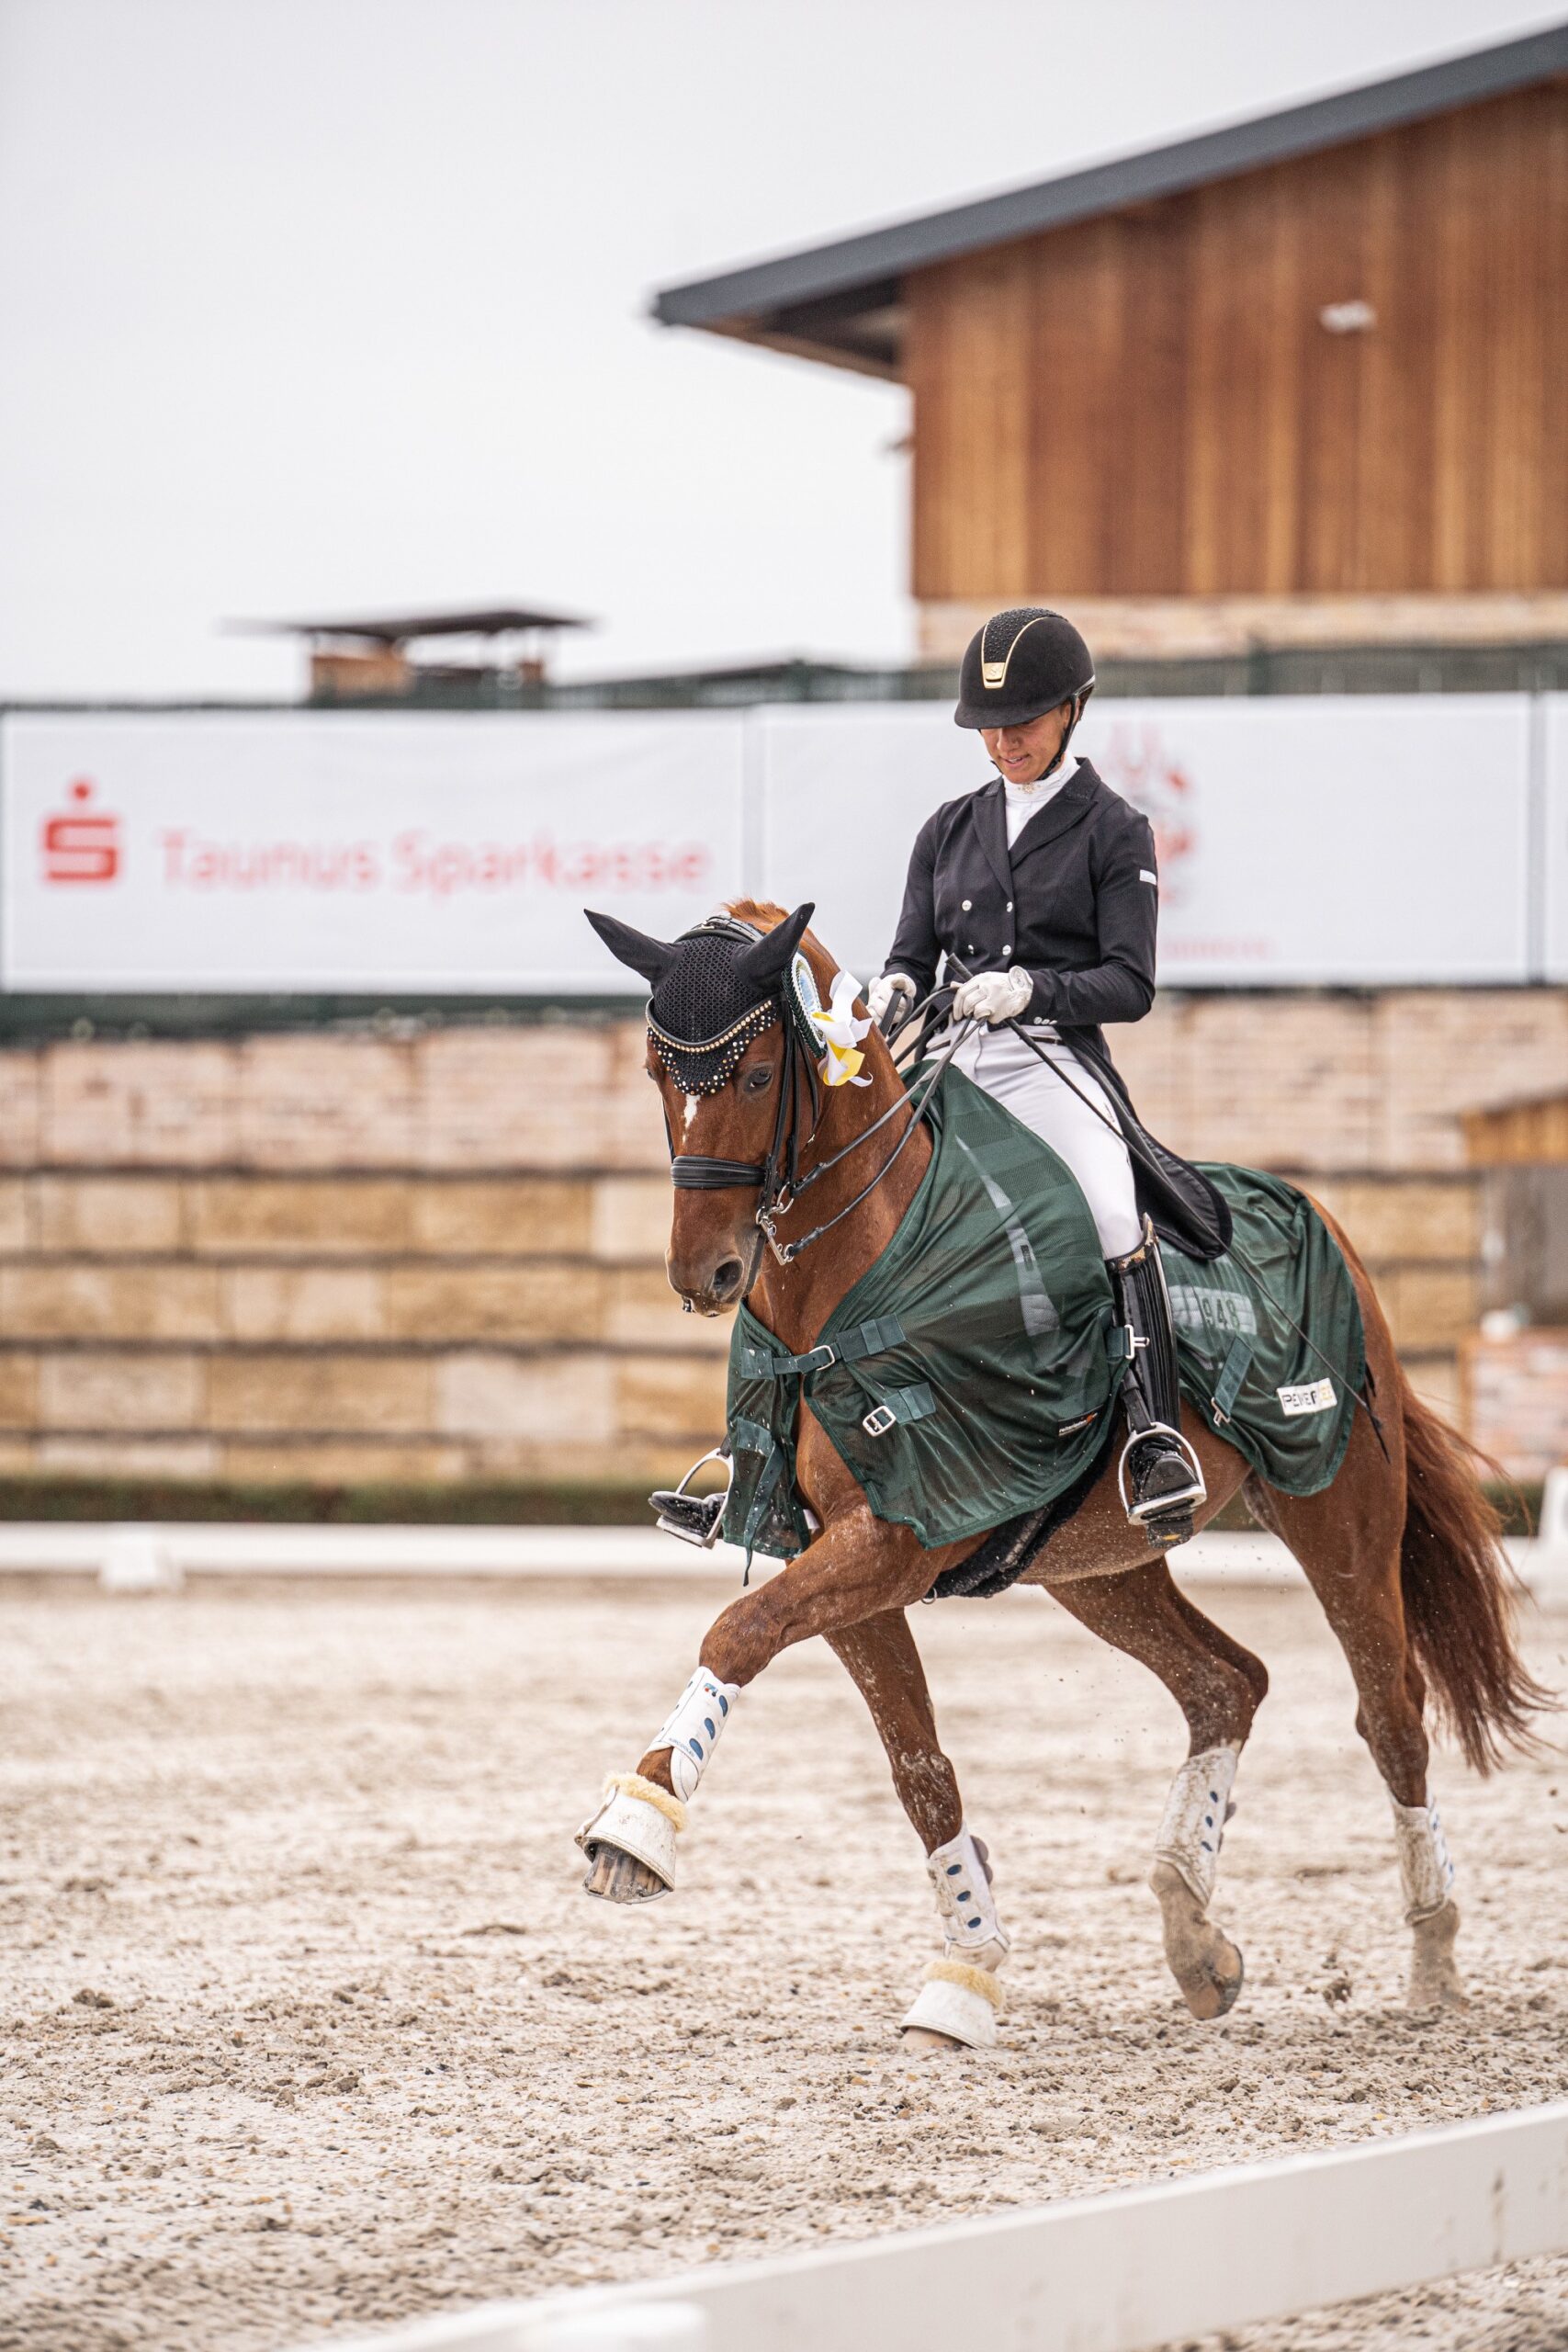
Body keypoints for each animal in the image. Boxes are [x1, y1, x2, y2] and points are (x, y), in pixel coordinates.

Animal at [575, 898, 1547, 2052]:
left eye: (761, 1073)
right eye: (655, 1069)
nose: (704, 1273)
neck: (859, 1284)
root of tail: (1327, 1224)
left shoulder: (900, 1540)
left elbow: (739, 1631)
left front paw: (635, 1828)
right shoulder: (841, 1555)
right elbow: (918, 1768)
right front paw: (967, 1974)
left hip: (1340, 1512)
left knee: (1391, 1711)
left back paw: (1433, 1958)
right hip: (1098, 1564)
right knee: (1227, 1681)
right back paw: (1192, 1933)